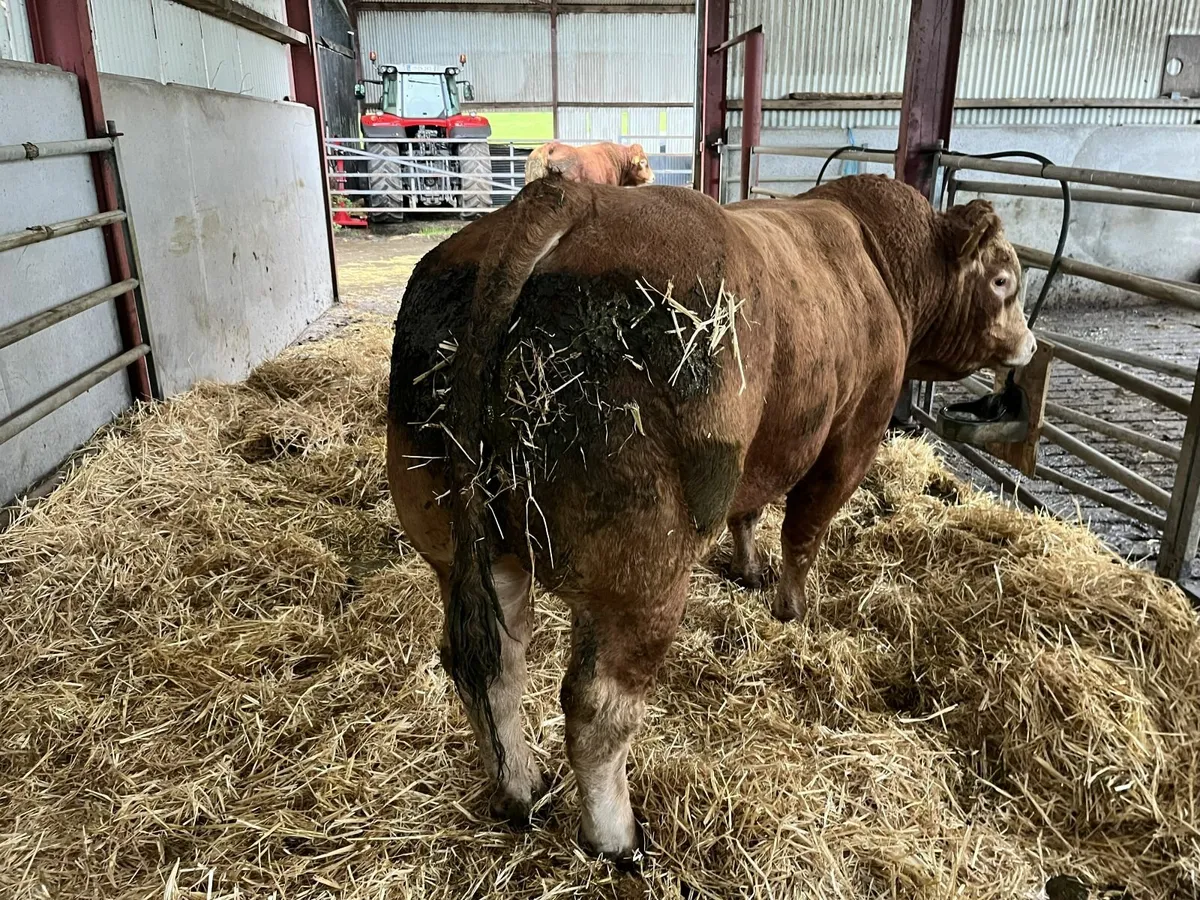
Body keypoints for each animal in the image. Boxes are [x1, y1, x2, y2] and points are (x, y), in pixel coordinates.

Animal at [386, 174, 1033, 863]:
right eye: (1002, 280)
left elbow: (750, 510)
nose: (1028, 344)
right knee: (596, 707)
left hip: (465, 546)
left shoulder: (766, 450)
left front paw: (750, 571)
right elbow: (804, 529)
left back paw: (521, 791)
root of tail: (565, 197)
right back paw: (616, 839)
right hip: (641, 571)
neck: (881, 263)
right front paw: (793, 608)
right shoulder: (853, 434)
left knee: (490, 666)